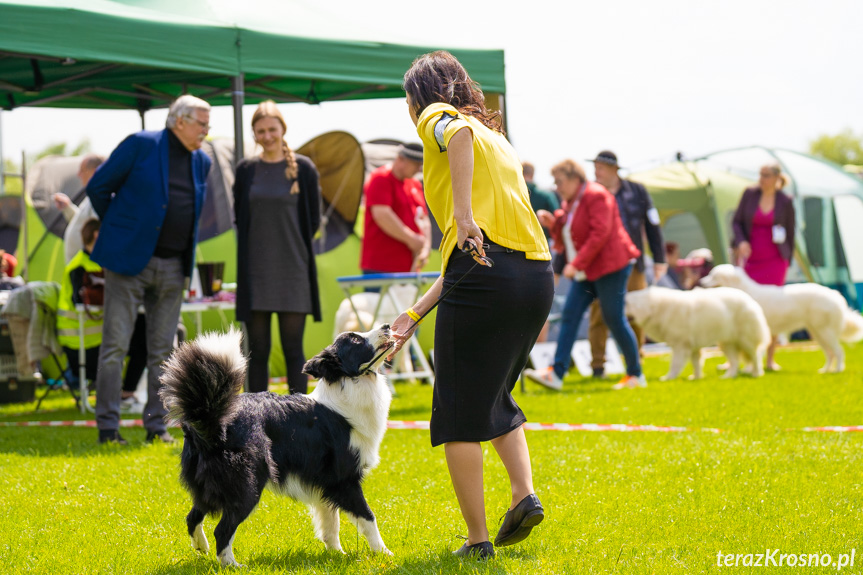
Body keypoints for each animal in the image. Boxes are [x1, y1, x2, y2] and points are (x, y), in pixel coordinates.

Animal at [624, 286, 772, 380]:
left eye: (626, 303)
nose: (618, 311)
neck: (656, 308)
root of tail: (750, 300)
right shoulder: (693, 347)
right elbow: (697, 363)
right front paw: (696, 377)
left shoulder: (680, 346)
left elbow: (675, 364)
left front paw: (668, 377)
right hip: (727, 343)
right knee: (735, 362)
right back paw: (727, 376)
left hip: (745, 340)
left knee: (755, 356)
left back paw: (756, 374)